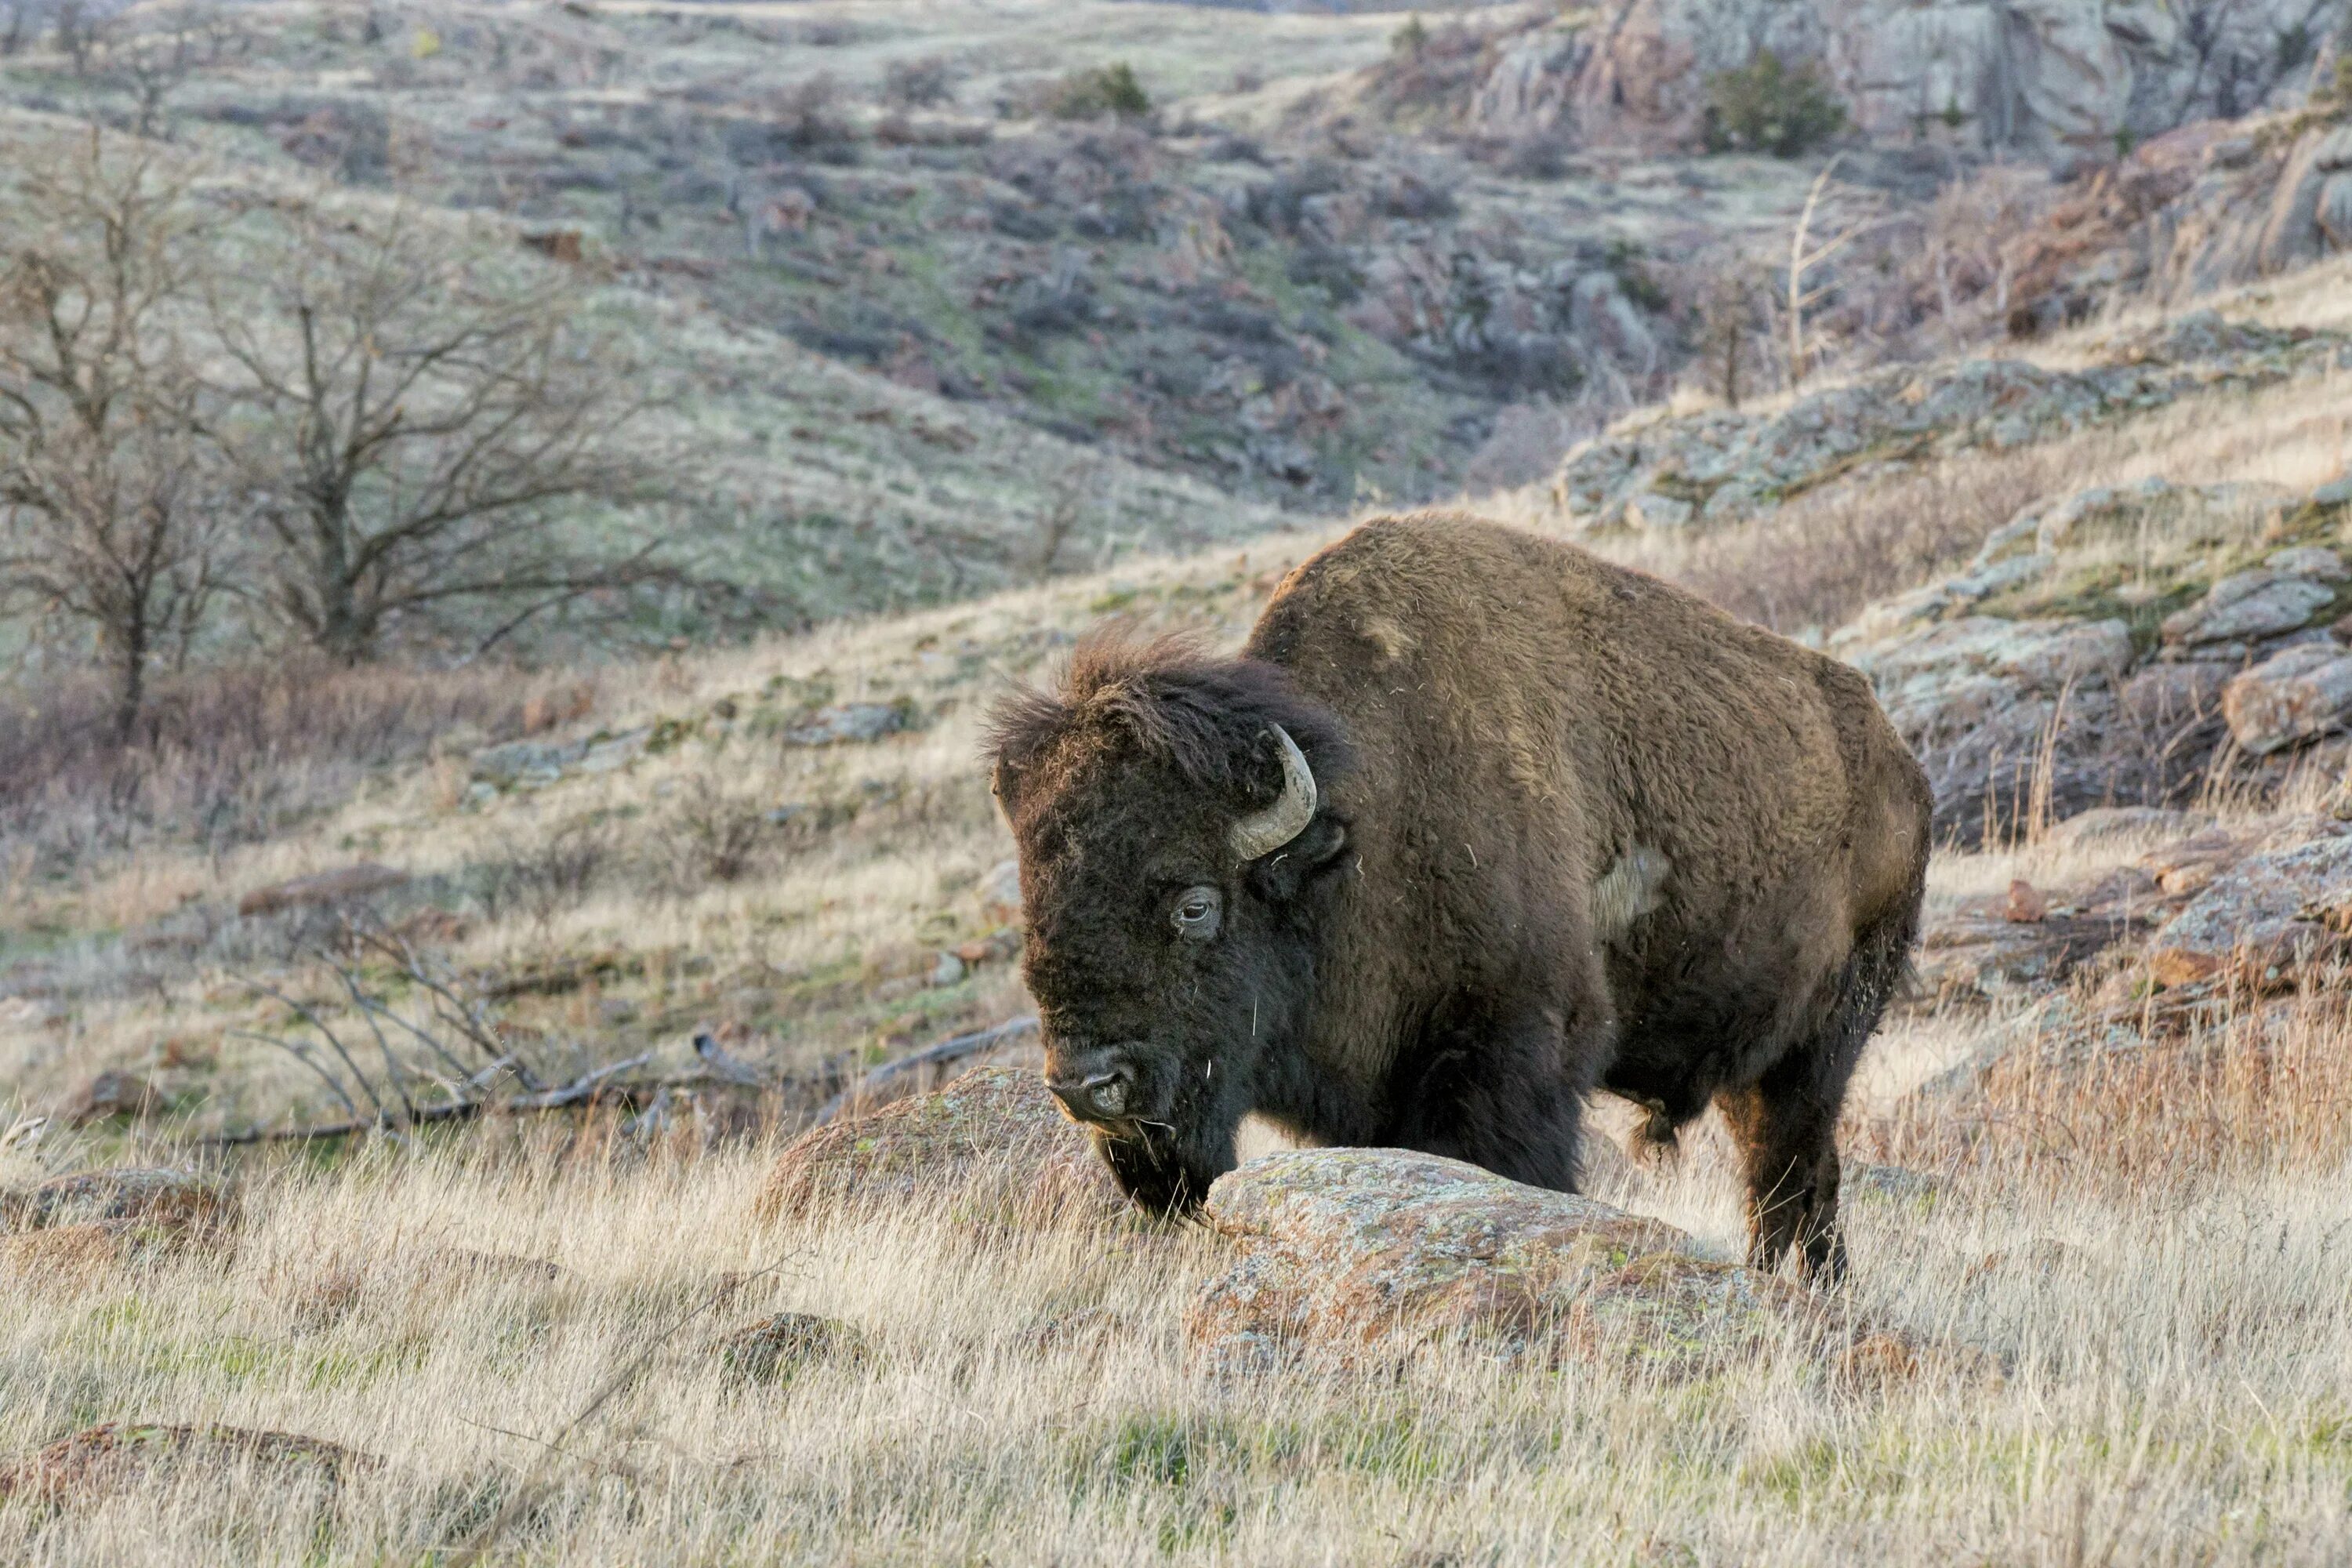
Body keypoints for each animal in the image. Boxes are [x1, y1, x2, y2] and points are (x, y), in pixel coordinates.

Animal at [993, 514, 1929, 1279]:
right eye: (1036, 902)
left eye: (1195, 904)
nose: (1089, 1087)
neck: (1362, 817)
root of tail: (1901, 765)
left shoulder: (1517, 1051)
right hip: (1757, 1062)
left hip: (1822, 1043)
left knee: (1793, 1170)